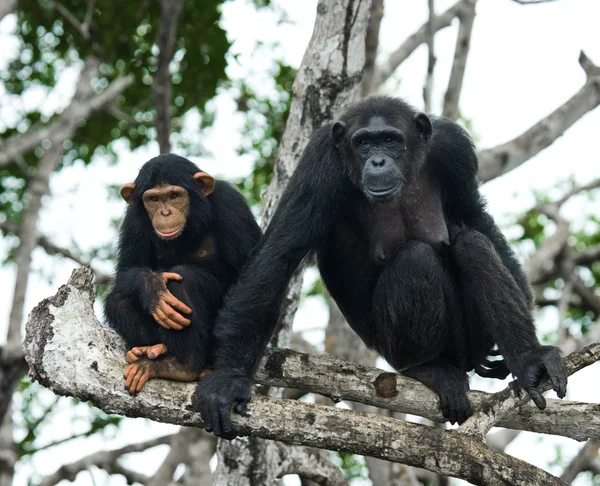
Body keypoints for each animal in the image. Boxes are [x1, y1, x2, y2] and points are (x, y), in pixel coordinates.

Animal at [103, 154, 262, 392]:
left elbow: (252, 272)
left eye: (174, 195)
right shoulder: (133, 218)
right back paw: (154, 350)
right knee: (118, 300)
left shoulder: (231, 204)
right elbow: (127, 268)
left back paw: (182, 366)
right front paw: (152, 287)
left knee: (184, 279)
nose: (165, 212)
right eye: (153, 199)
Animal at [197, 95, 568, 436]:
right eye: (363, 143)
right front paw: (228, 380)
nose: (377, 160)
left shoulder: (455, 150)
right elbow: (279, 255)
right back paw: (428, 368)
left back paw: (529, 359)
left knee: (472, 244)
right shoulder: (320, 163)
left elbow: (473, 214)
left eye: (390, 139)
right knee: (416, 259)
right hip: (399, 351)